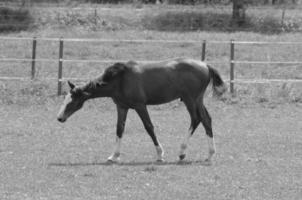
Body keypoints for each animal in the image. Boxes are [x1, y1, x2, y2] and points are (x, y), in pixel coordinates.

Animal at [56, 57, 226, 162]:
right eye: (65, 99)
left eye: (73, 101)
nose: (59, 118)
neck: (120, 79)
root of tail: (205, 65)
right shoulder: (122, 107)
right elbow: (119, 129)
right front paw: (114, 156)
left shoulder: (140, 106)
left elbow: (149, 127)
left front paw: (160, 154)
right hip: (198, 100)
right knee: (206, 120)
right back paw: (210, 155)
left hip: (190, 99)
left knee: (196, 119)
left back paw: (182, 152)